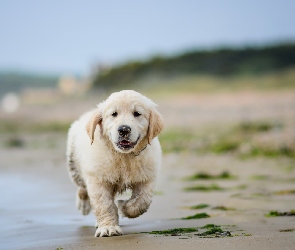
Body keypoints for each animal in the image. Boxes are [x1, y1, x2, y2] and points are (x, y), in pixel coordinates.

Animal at [66, 89, 164, 236]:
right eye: (114, 114)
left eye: (137, 113)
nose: (124, 129)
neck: (124, 156)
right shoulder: (98, 179)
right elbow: (104, 205)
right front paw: (108, 228)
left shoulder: (147, 177)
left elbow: (142, 201)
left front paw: (123, 207)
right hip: (75, 166)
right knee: (82, 187)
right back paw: (83, 205)